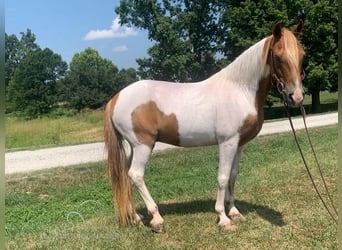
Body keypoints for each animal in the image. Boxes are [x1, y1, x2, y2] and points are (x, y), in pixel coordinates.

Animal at [103, 20, 304, 231]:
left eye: (302, 55)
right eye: (278, 57)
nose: (296, 96)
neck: (240, 90)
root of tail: (116, 98)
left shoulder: (239, 144)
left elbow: (233, 175)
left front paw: (234, 212)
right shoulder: (227, 142)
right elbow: (222, 177)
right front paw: (223, 218)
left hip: (134, 147)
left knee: (126, 177)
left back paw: (135, 217)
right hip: (143, 145)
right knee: (136, 175)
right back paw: (156, 219)